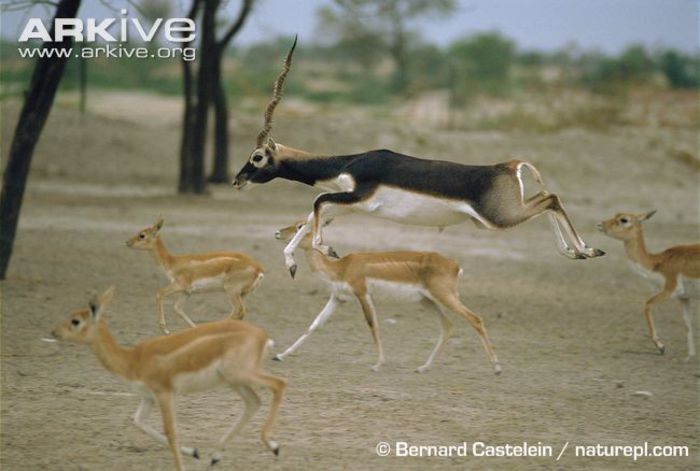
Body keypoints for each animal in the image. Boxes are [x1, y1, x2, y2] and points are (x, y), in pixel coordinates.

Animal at [50, 288, 288, 471]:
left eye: (75, 321)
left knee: (279, 383)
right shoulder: (148, 397)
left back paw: (273, 445)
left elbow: (171, 432)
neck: (133, 360)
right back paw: (217, 456)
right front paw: (194, 452)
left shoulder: (164, 394)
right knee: (254, 402)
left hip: (242, 374)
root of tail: (263, 336)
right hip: (234, 381)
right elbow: (139, 422)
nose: (53, 332)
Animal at [126, 218, 266, 334]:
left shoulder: (179, 285)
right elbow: (177, 308)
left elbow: (159, 293)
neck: (173, 262)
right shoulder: (187, 292)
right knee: (239, 312)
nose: (127, 242)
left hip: (231, 291)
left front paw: (165, 330)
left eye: (142, 235)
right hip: (241, 294)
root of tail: (258, 269)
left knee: (239, 311)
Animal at [232, 39, 604, 280]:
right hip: (496, 218)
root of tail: (509, 166)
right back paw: (578, 252)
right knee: (547, 198)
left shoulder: (357, 195)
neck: (349, 162)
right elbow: (310, 216)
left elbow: (317, 201)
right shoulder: (350, 204)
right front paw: (293, 262)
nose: (237, 180)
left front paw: (328, 249)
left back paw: (586, 250)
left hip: (498, 218)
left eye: (258, 156)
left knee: (551, 198)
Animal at [274, 221, 504, 376]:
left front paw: (378, 364)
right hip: (427, 301)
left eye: (300, 226)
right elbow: (315, 325)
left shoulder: (362, 294)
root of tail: (455, 265)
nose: (277, 232)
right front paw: (281, 355)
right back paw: (423, 367)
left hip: (445, 297)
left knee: (475, 319)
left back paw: (497, 367)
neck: (341, 268)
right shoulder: (338, 298)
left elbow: (373, 325)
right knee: (447, 326)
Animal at [596, 212, 700, 360]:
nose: (600, 224)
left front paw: (661, 347)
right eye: (616, 214)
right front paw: (689, 356)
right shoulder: (684, 297)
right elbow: (688, 323)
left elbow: (648, 304)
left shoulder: (670, 289)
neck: (658, 263)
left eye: (624, 219)